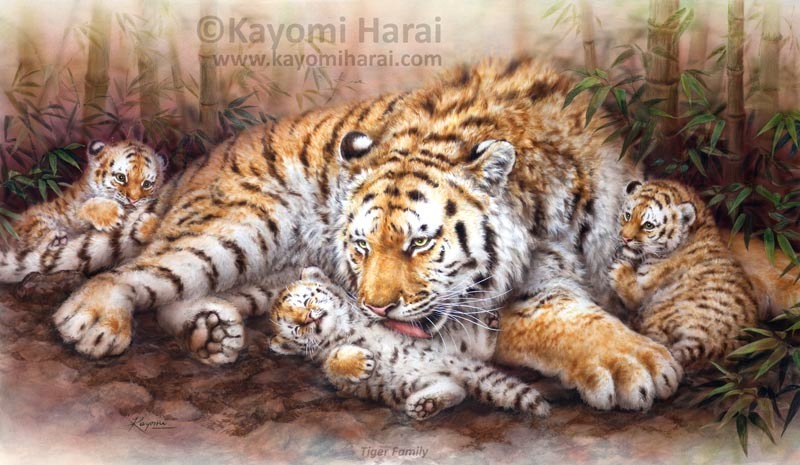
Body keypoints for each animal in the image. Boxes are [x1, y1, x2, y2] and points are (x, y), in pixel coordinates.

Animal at [0, 140, 169, 283]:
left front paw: (149, 224)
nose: (133, 200)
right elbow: (81, 208)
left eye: (147, 184)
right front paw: (111, 215)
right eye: (121, 177)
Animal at [268, 267, 549, 420]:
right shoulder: (334, 374)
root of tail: (454, 364)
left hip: (454, 344)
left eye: (306, 300)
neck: (344, 325)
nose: (308, 318)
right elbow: (332, 361)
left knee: (481, 352)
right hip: (417, 382)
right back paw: (424, 405)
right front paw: (361, 362)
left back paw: (490, 320)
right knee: (457, 389)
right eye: (295, 328)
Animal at [609, 180, 759, 370]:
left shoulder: (644, 292)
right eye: (627, 216)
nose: (625, 238)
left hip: (660, 311)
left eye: (648, 225)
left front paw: (619, 268)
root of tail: (706, 344)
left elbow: (633, 293)